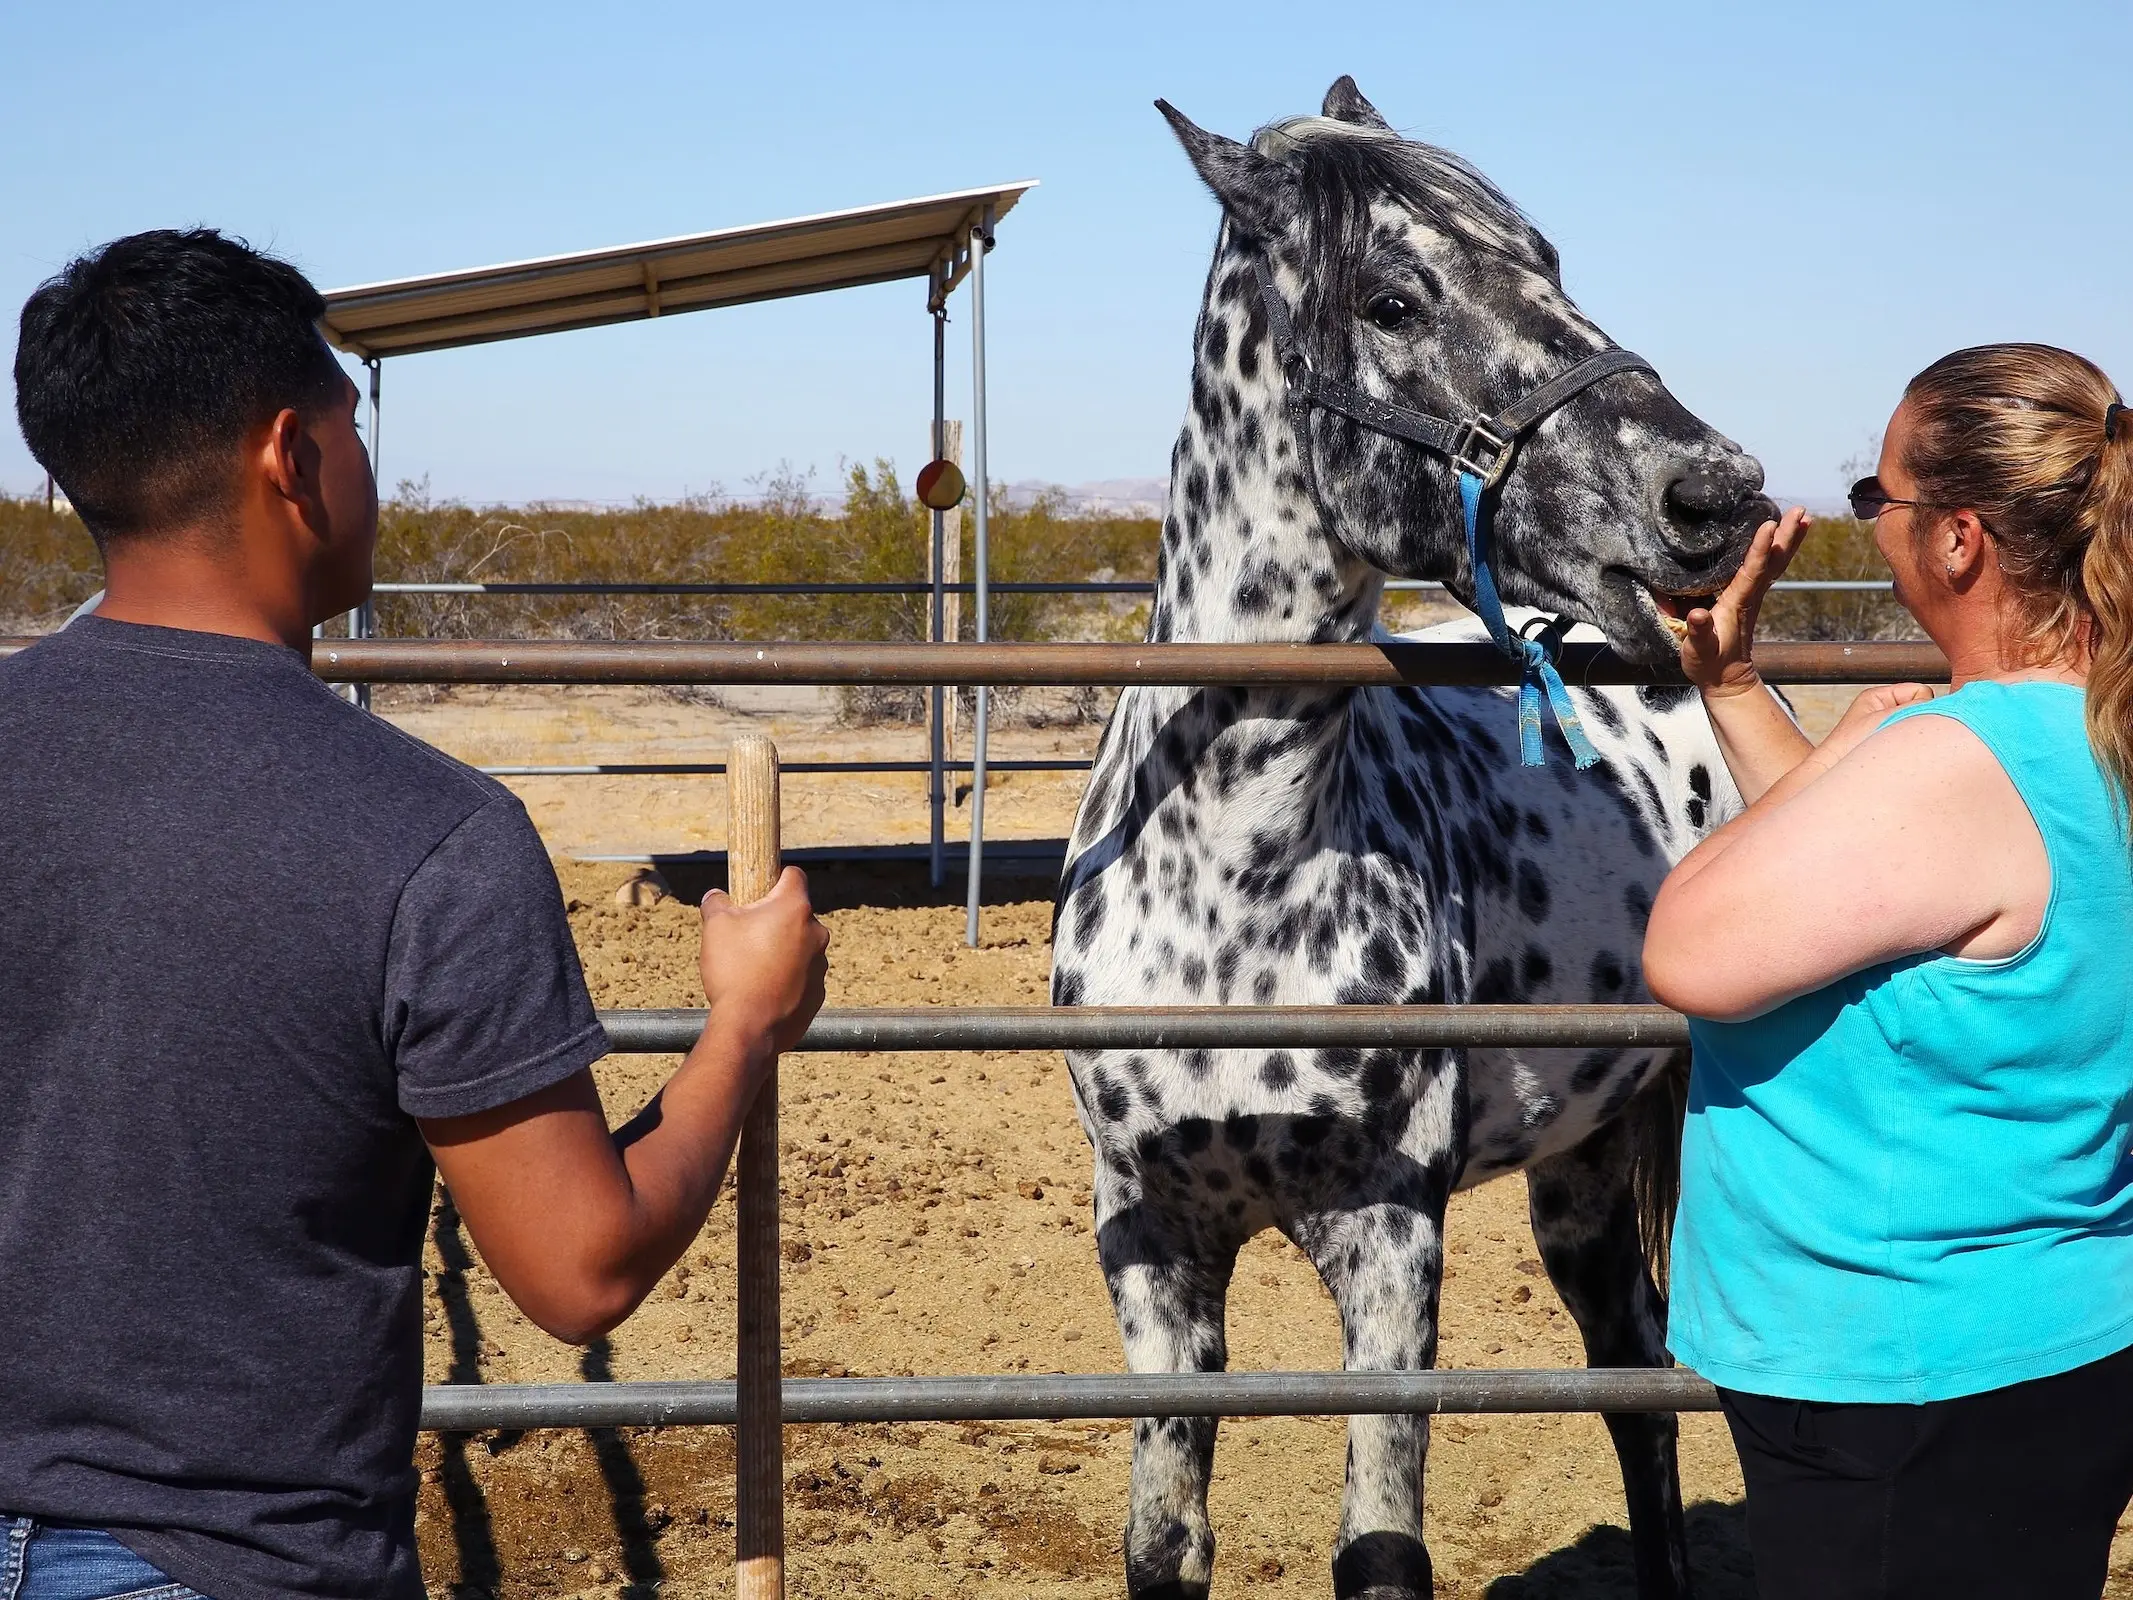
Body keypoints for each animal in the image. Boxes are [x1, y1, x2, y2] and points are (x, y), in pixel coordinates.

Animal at [1045, 84, 1766, 1600]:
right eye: (1390, 297)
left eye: (1549, 262)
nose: (1713, 494)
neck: (1231, 879)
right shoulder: (1150, 1244)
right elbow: (1163, 1543)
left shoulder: (1390, 1240)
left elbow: (1381, 1547)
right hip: (1581, 1172)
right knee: (1632, 1378)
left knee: (1666, 1387)